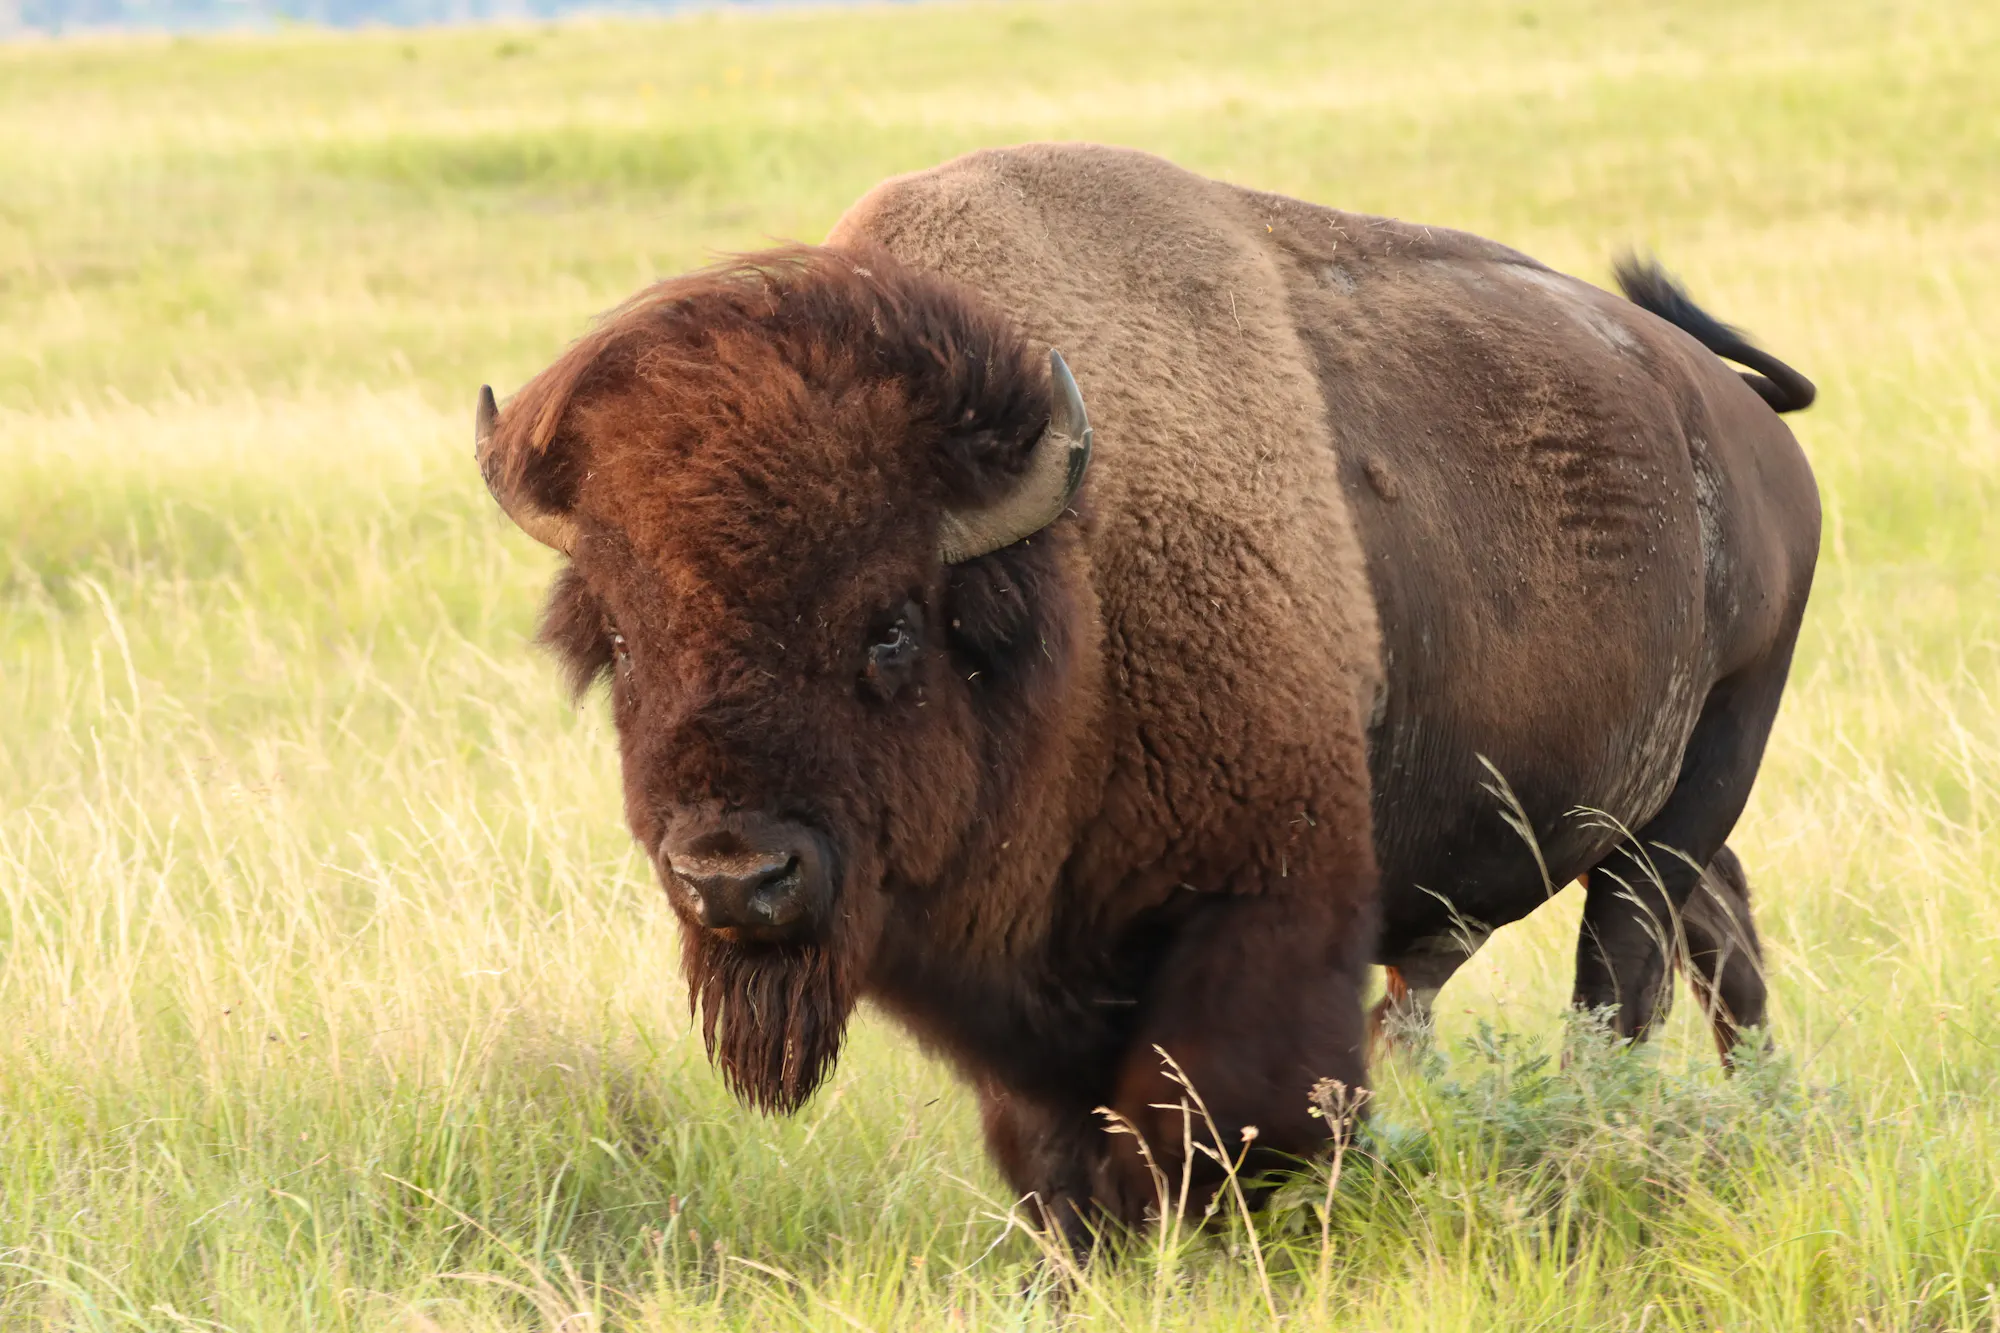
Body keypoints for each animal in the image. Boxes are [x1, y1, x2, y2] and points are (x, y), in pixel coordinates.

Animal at [475, 144, 1817, 1241]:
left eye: (891, 625)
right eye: (623, 639)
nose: (732, 877)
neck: (1072, 570)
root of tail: (1733, 414)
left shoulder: (1258, 906)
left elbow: (1216, 1121)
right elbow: (1055, 1158)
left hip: (1696, 781)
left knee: (1621, 982)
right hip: (1651, 817)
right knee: (1716, 927)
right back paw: (1761, 1100)